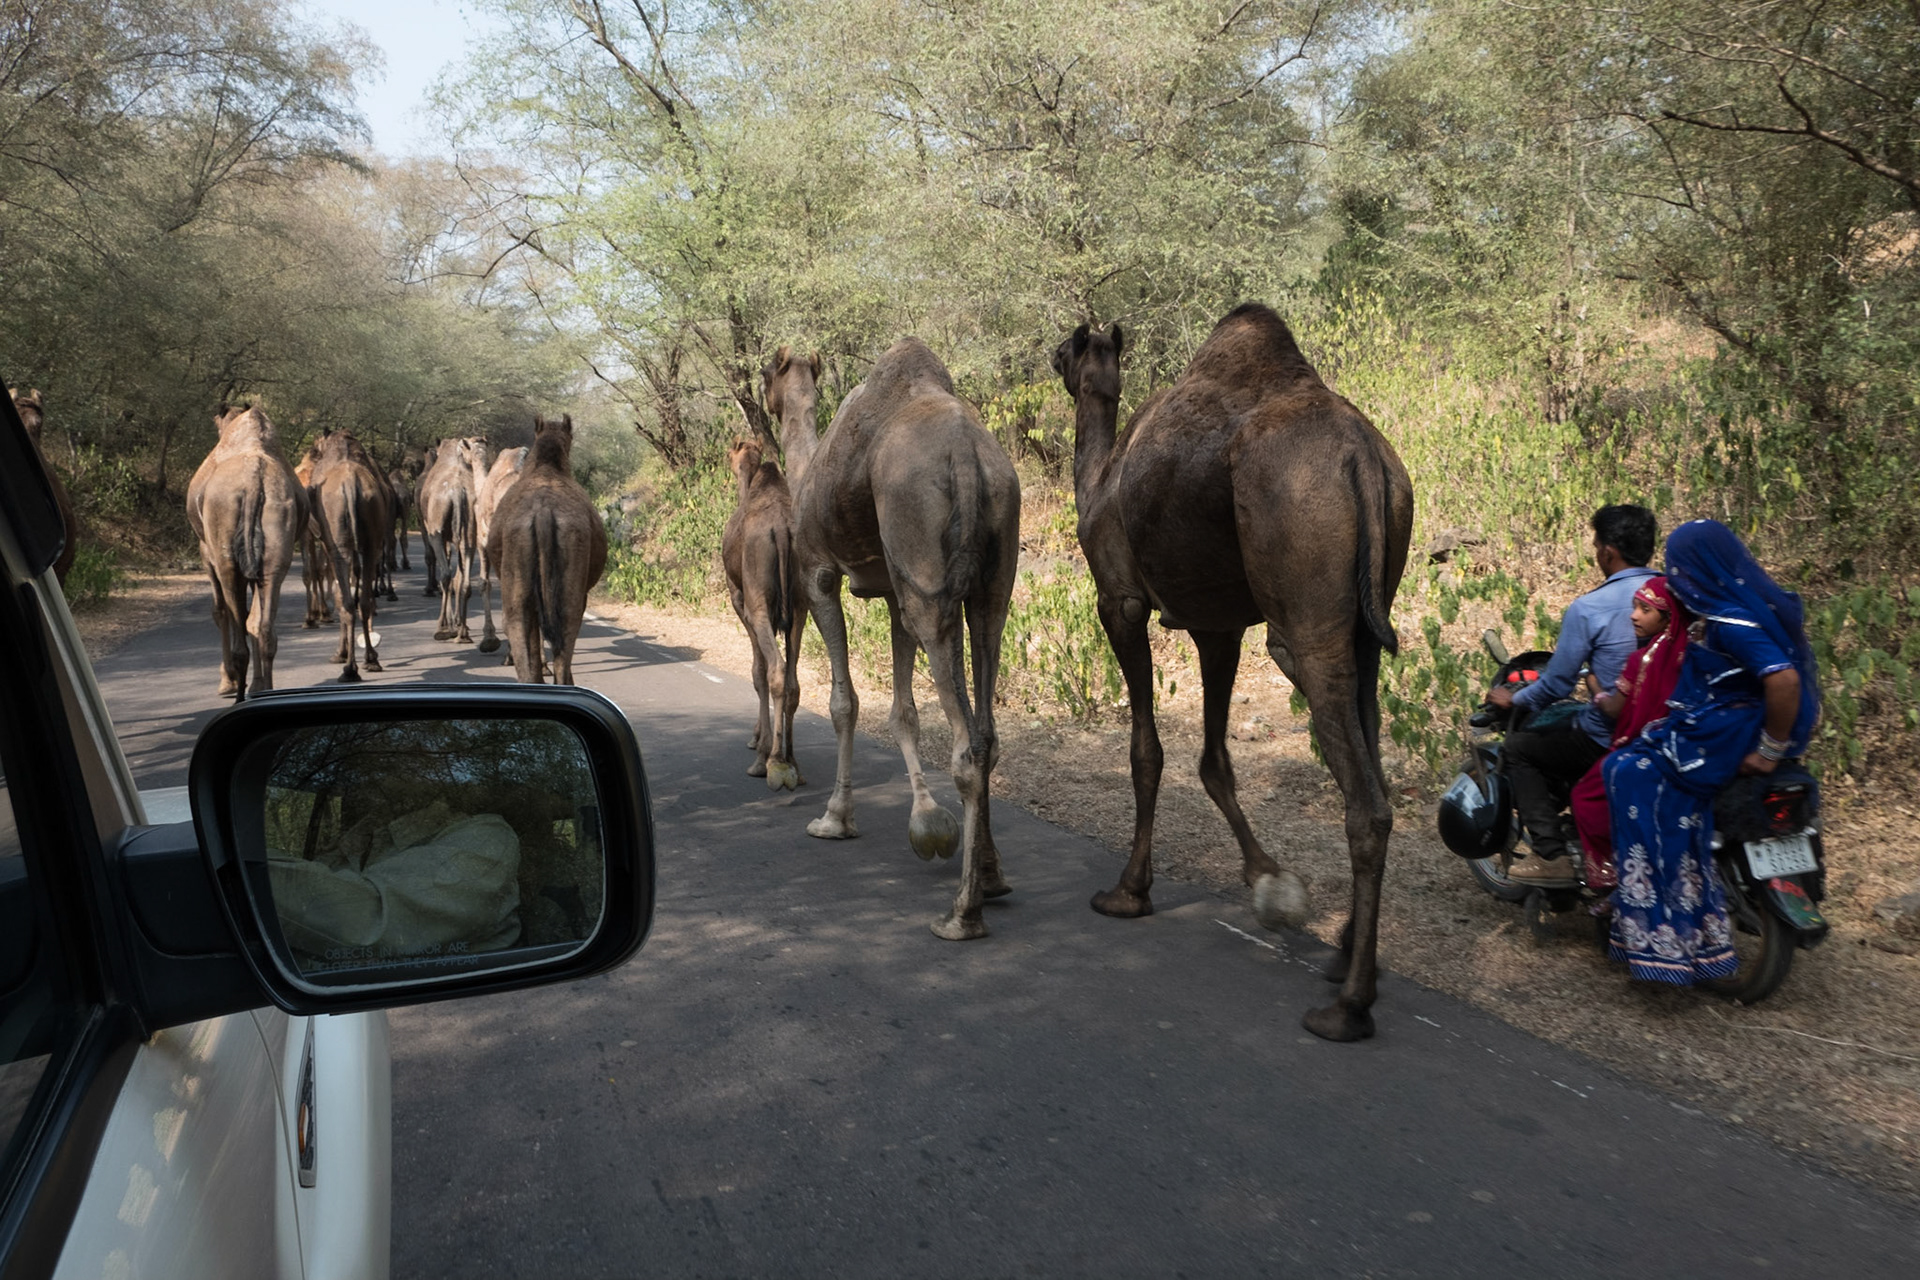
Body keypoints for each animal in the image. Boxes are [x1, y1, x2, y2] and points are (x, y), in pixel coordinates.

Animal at [185, 404, 307, 699]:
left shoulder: (206, 552)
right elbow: (253, 619)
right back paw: (267, 689)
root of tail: (254, 481)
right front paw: (258, 683)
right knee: (266, 629)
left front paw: (226, 680)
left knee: (239, 636)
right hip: (276, 546)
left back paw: (237, 691)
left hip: (226, 557)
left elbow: (219, 611)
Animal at [306, 429, 392, 681]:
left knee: (345, 599)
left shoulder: (328, 542)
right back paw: (371, 660)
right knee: (362, 598)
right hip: (371, 534)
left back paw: (349, 667)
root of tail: (351, 485)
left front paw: (340, 653)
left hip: (338, 539)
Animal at [418, 437, 485, 642]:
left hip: (436, 532)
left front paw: (449, 623)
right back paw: (462, 632)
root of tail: (457, 491)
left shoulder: (438, 532)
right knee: (464, 580)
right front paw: (457, 622)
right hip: (469, 531)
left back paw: (442, 627)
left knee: (446, 575)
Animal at [786, 338, 1021, 941]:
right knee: (988, 729)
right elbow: (903, 710)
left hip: (925, 571)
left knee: (967, 745)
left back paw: (961, 914)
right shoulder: (892, 590)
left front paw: (834, 818)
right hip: (993, 576)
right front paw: (927, 822)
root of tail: (966, 454)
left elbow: (844, 701)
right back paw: (991, 878)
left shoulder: (818, 570)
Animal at [1051, 306, 1414, 1042]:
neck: (1099, 479)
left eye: (1073, 349)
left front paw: (1128, 890)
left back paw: (1348, 1005)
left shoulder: (1120, 600)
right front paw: (1266, 877)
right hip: (1369, 615)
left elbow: (1147, 751)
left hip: (1303, 611)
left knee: (1364, 798)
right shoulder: (1216, 626)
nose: (1050, 355)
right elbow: (1214, 760)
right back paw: (1344, 955)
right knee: (1373, 755)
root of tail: (1363, 460)